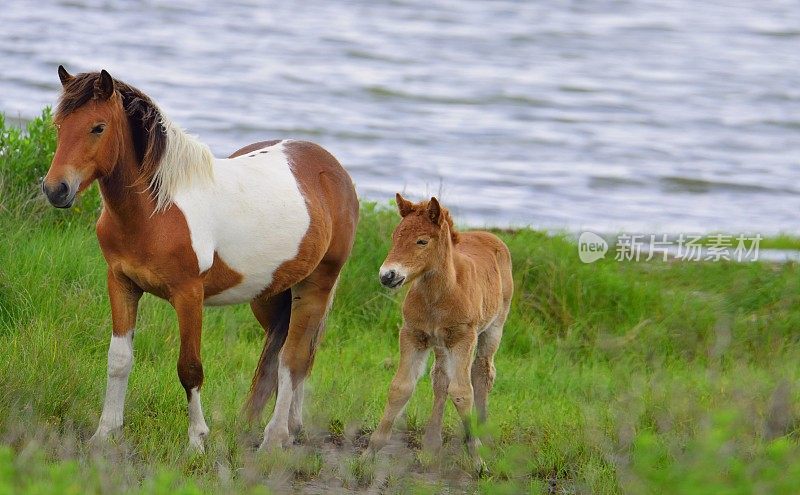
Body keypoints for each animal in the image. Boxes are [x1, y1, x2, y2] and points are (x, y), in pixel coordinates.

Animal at [42, 66, 358, 454]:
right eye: (59, 124)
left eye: (97, 127)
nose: (56, 189)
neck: (156, 210)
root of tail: (333, 169)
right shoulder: (121, 283)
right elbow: (119, 360)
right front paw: (105, 434)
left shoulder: (189, 295)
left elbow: (189, 368)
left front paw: (196, 441)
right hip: (270, 296)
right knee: (286, 354)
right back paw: (281, 427)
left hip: (316, 285)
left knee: (294, 358)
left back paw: (274, 438)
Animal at [364, 194, 512, 472]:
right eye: (395, 236)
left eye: (422, 241)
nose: (387, 276)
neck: (438, 296)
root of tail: (489, 235)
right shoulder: (413, 334)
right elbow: (401, 388)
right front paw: (369, 453)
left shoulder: (464, 338)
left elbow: (463, 392)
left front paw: (477, 460)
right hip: (441, 343)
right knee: (441, 378)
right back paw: (431, 445)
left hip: (493, 329)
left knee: (482, 373)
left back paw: (484, 436)